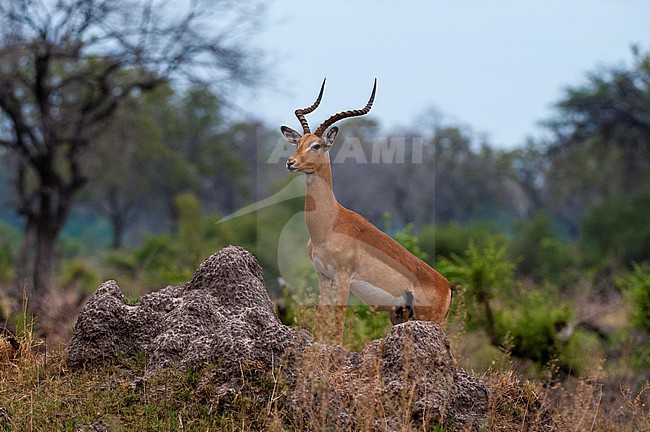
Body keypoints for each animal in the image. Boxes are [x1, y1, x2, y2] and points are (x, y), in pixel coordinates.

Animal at [281, 79, 452, 343]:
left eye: (316, 145)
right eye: (298, 143)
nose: (291, 162)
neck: (328, 225)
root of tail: (448, 287)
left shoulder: (343, 277)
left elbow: (338, 324)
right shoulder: (323, 276)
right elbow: (321, 321)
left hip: (430, 321)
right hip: (399, 316)